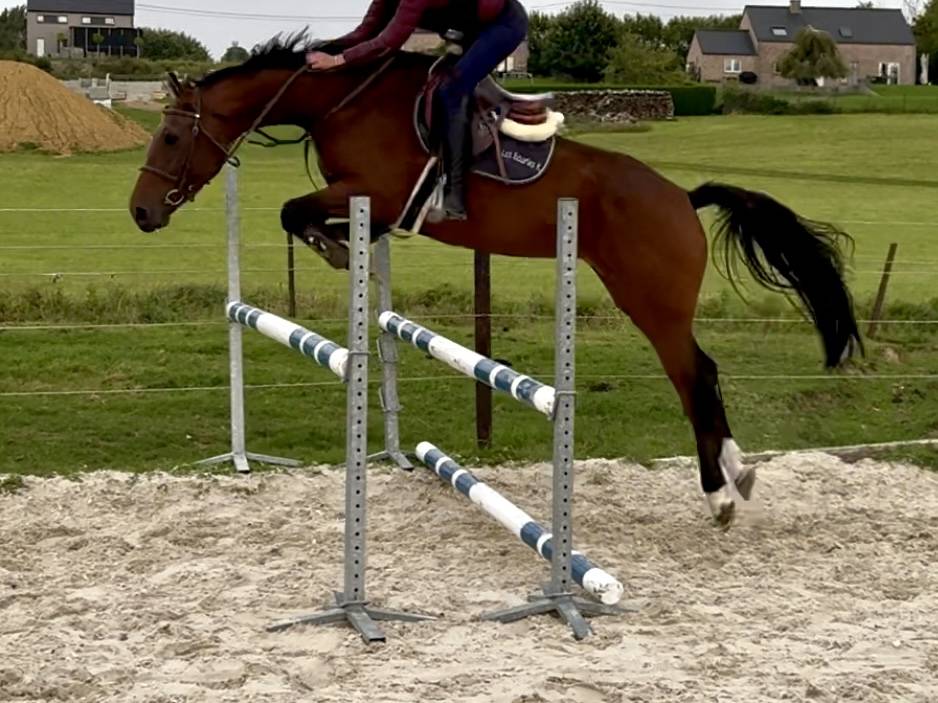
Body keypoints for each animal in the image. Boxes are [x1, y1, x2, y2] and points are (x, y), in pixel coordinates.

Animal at [129, 34, 861, 527]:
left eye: (170, 139)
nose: (140, 213)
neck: (343, 103)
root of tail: (682, 197)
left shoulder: (379, 192)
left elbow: (294, 210)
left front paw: (334, 247)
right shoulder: (373, 202)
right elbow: (309, 215)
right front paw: (340, 244)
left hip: (651, 301)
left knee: (694, 375)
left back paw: (717, 491)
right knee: (703, 372)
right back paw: (740, 472)